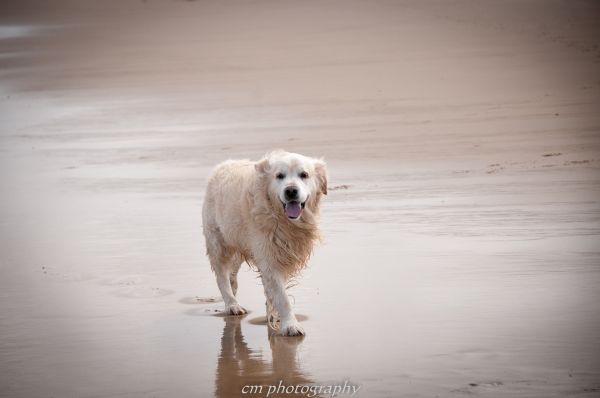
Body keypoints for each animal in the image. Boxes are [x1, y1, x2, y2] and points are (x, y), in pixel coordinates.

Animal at [202, 150, 326, 336]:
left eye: (304, 175)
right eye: (279, 176)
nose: (291, 191)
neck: (283, 220)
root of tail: (222, 165)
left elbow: (273, 293)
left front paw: (274, 316)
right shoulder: (268, 257)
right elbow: (282, 296)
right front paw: (290, 325)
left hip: (239, 242)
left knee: (232, 272)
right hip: (218, 242)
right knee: (221, 275)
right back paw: (232, 304)